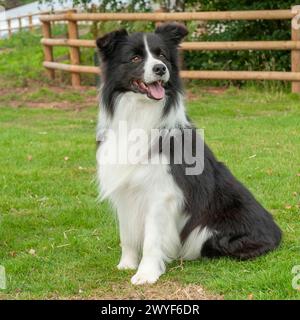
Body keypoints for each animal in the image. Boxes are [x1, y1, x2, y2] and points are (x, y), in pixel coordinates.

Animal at [95, 23, 282, 284]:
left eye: (162, 55)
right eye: (135, 58)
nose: (160, 69)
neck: (139, 113)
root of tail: (277, 232)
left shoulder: (161, 193)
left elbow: (152, 239)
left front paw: (146, 273)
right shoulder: (125, 189)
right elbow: (127, 233)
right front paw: (127, 264)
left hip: (209, 234)